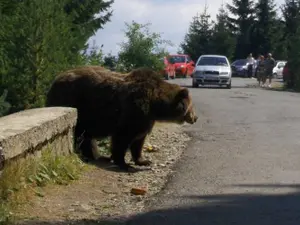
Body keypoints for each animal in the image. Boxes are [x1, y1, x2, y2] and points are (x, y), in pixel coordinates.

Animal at [46, 66, 197, 171]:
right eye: (192, 105)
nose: (195, 118)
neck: (155, 104)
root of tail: (55, 80)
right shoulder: (134, 110)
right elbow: (123, 138)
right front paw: (124, 164)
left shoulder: (145, 119)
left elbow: (139, 140)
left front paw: (143, 160)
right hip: (74, 102)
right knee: (80, 133)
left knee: (85, 136)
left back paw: (96, 155)